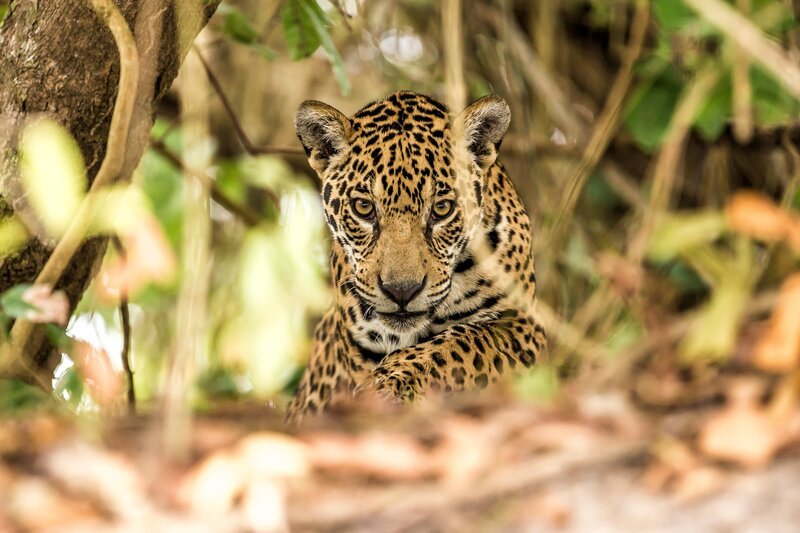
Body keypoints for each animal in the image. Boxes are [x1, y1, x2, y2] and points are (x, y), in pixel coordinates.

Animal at [286, 91, 546, 423]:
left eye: (442, 208)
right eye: (363, 207)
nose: (401, 291)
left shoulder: (523, 324)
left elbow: (459, 343)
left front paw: (392, 382)